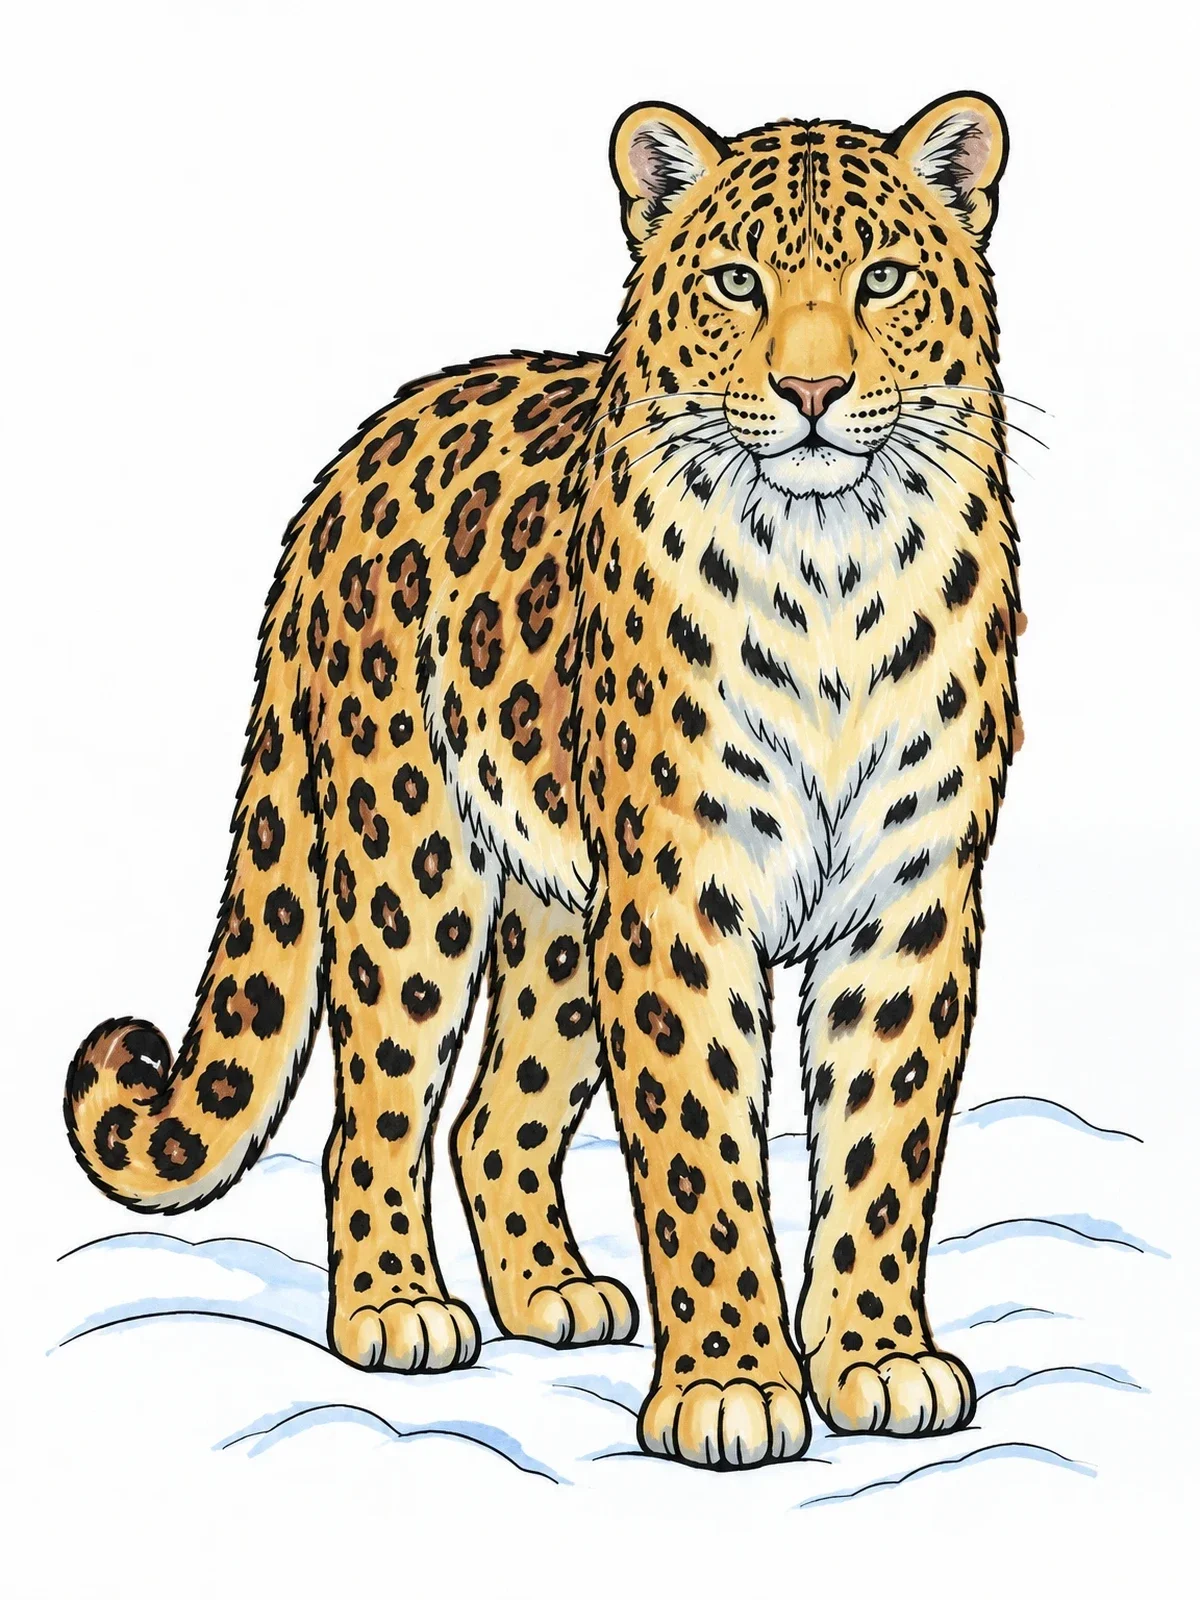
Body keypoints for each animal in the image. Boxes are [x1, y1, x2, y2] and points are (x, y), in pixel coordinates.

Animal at [65, 91, 1023, 1471]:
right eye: (737, 281)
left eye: (882, 278)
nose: (812, 388)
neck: (829, 568)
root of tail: (347, 468)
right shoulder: (681, 890)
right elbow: (698, 1146)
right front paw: (733, 1385)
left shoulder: (912, 889)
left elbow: (882, 1139)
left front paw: (879, 1359)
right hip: (410, 864)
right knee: (378, 1107)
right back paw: (399, 1307)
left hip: (563, 906)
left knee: (490, 1112)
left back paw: (552, 1294)